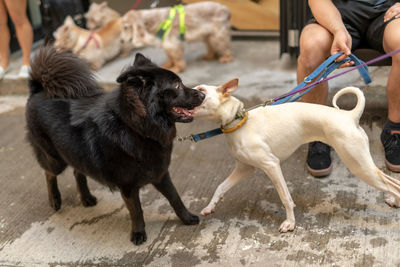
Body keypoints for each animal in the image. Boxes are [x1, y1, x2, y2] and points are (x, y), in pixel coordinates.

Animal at [26, 47, 205, 246]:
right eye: (177, 86)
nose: (203, 95)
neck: (135, 129)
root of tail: (38, 88)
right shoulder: (128, 186)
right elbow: (136, 211)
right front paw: (138, 233)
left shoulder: (160, 174)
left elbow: (175, 198)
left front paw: (187, 218)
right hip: (55, 158)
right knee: (49, 174)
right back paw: (55, 200)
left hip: (76, 152)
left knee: (77, 171)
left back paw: (86, 197)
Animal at [85, 0, 234, 73]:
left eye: (126, 27)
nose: (121, 40)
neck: (150, 22)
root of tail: (225, 8)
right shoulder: (166, 44)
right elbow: (170, 57)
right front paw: (168, 64)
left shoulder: (171, 43)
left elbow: (176, 58)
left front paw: (177, 68)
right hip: (208, 35)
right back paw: (209, 55)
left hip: (217, 35)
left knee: (225, 46)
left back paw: (226, 57)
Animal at [191, 79, 400, 232]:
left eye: (201, 89)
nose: (186, 91)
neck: (240, 121)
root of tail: (349, 116)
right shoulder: (244, 168)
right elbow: (220, 187)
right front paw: (210, 207)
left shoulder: (271, 165)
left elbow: (285, 197)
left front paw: (290, 223)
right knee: (395, 183)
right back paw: (394, 202)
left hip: (359, 166)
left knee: (393, 186)